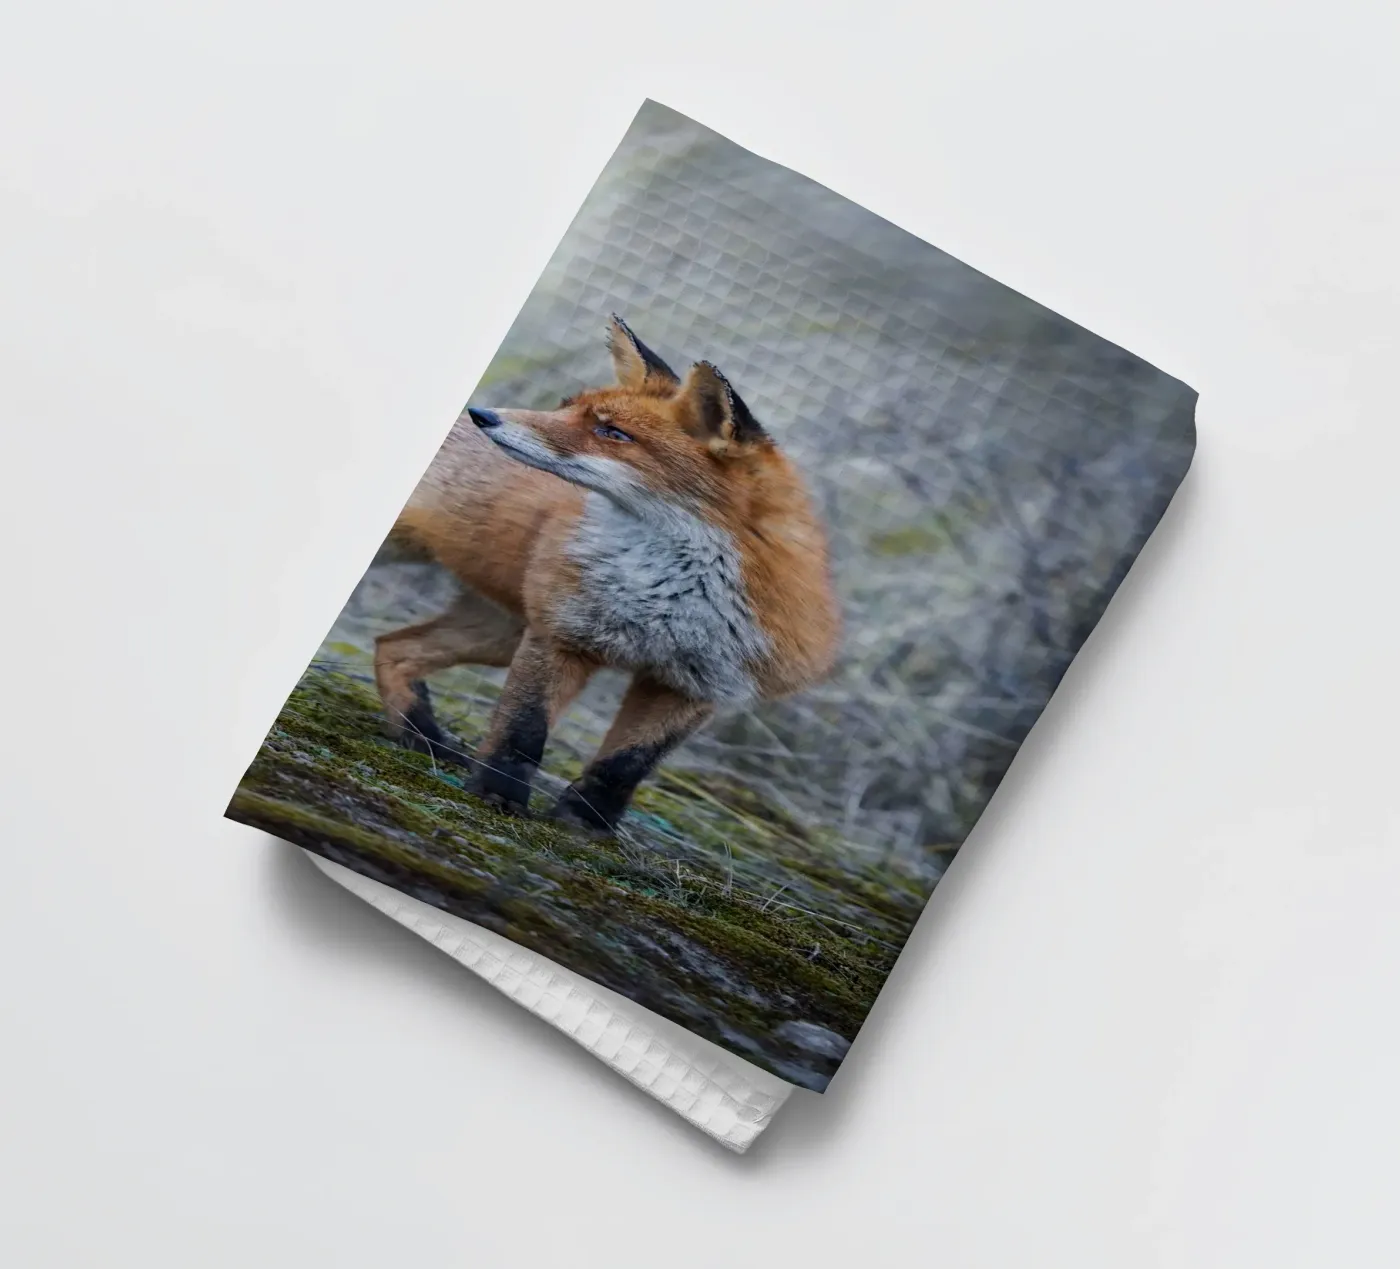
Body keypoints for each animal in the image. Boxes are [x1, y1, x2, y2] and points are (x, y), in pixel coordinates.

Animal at [373, 315, 841, 832]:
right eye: (566, 406)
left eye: (614, 433)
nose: (483, 415)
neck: (669, 595)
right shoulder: (562, 635)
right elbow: (524, 731)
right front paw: (499, 796)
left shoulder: (697, 685)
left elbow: (625, 765)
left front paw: (587, 824)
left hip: (499, 632)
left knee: (394, 648)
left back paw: (422, 739)